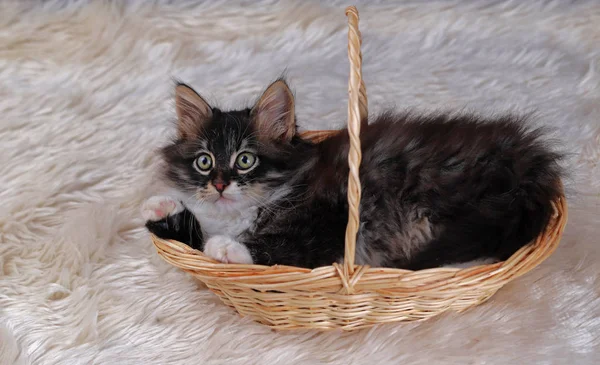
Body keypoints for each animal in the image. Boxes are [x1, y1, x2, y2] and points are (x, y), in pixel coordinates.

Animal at [143, 78, 564, 268]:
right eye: (204, 162)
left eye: (245, 160)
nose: (219, 184)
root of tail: (524, 158)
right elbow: (194, 236)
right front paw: (162, 207)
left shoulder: (333, 217)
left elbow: (285, 248)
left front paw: (228, 248)